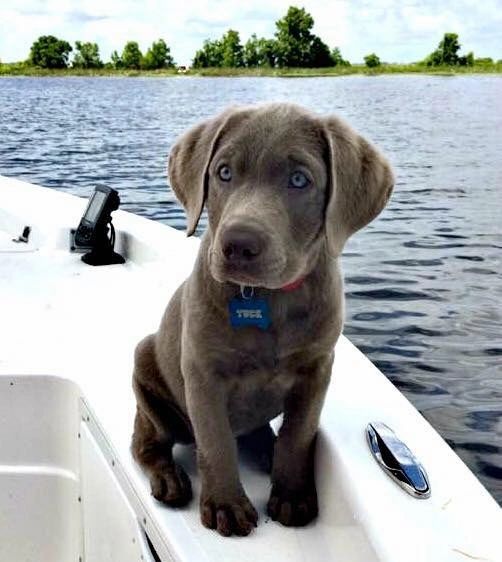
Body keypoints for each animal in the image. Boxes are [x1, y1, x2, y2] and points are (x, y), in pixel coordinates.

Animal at [131, 103, 394, 536]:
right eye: (223, 172)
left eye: (299, 180)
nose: (237, 245)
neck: (265, 299)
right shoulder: (202, 373)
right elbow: (215, 441)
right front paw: (225, 505)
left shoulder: (317, 369)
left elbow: (298, 434)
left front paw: (292, 495)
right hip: (146, 372)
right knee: (146, 444)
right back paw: (169, 479)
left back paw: (265, 451)